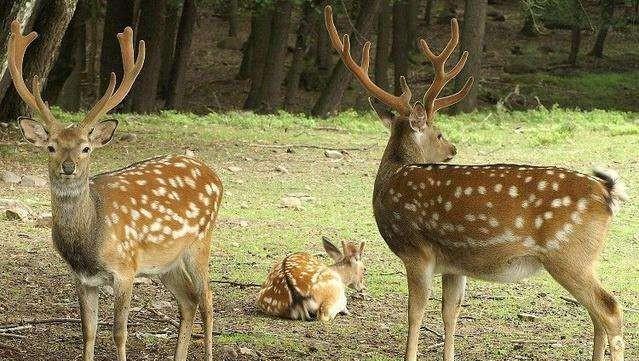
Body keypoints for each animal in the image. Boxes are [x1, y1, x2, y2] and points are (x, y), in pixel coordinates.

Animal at [6, 20, 222, 360]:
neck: (90, 238)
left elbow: (119, 332)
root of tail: (214, 175)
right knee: (188, 301)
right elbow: (89, 331)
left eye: (86, 148)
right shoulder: (83, 278)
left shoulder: (125, 269)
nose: (68, 167)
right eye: (51, 146)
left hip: (200, 242)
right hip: (166, 262)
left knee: (209, 299)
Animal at [328, 6, 628, 360]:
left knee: (610, 309)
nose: (452, 149)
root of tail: (608, 192)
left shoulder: (416, 250)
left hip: (568, 254)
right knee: (597, 314)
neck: (392, 179)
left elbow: (415, 314)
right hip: (584, 258)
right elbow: (450, 313)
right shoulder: (454, 264)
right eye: (440, 133)